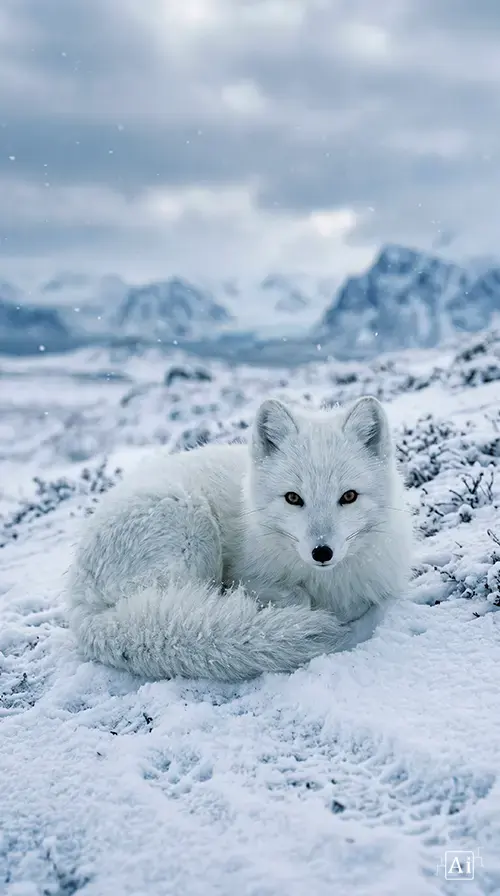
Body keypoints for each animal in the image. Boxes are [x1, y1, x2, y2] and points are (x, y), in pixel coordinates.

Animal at [68, 395, 413, 682]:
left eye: (349, 496)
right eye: (293, 498)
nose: (322, 552)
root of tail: (80, 603)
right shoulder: (247, 575)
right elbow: (297, 597)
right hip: (193, 531)